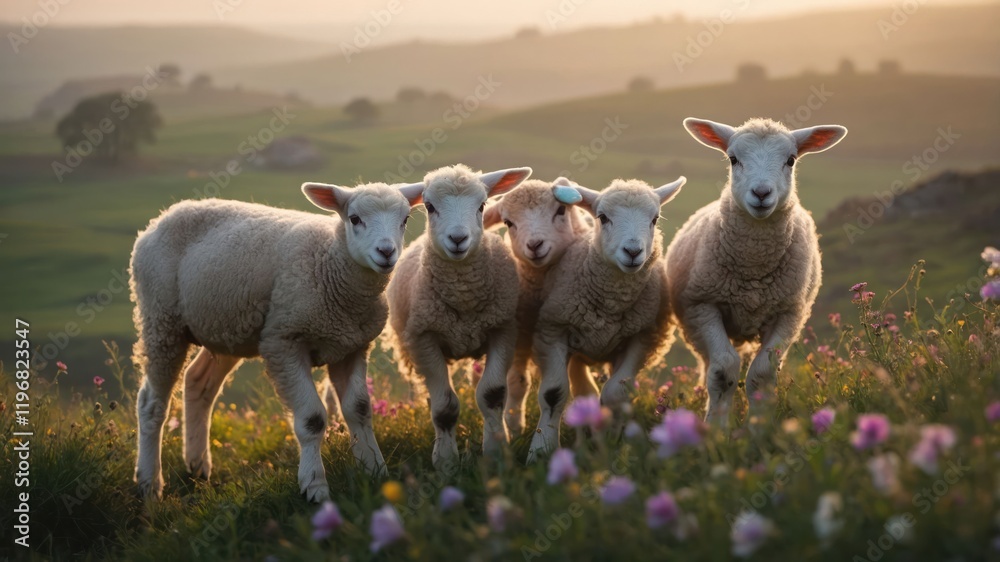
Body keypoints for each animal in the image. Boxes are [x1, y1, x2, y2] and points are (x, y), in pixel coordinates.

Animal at [129, 180, 424, 502]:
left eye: (405, 220)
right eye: (355, 219)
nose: (387, 251)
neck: (330, 261)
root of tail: (163, 216)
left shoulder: (351, 346)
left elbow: (359, 410)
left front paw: (374, 470)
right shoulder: (284, 341)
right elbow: (312, 419)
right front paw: (315, 486)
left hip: (226, 329)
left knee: (198, 382)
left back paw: (197, 466)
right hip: (162, 320)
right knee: (151, 403)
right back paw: (149, 483)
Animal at [387, 164, 532, 471]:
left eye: (482, 205)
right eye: (430, 206)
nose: (457, 239)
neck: (463, 295)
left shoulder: (503, 329)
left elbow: (492, 394)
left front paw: (496, 452)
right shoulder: (424, 339)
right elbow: (444, 407)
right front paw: (445, 462)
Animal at [481, 177, 598, 435]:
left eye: (561, 210)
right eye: (508, 222)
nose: (535, 245)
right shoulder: (519, 335)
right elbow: (517, 382)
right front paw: (514, 426)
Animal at [526, 176, 685, 463]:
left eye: (654, 218)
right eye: (602, 217)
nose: (632, 251)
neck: (611, 301)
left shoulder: (643, 337)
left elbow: (615, 393)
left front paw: (612, 441)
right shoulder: (551, 332)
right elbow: (554, 394)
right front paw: (540, 450)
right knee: (582, 394)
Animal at [666, 117, 847, 429]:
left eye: (791, 160)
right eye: (733, 158)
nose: (761, 194)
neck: (754, 264)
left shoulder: (789, 314)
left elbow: (762, 374)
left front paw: (758, 428)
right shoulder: (702, 306)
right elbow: (723, 370)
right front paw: (716, 428)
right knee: (709, 365)